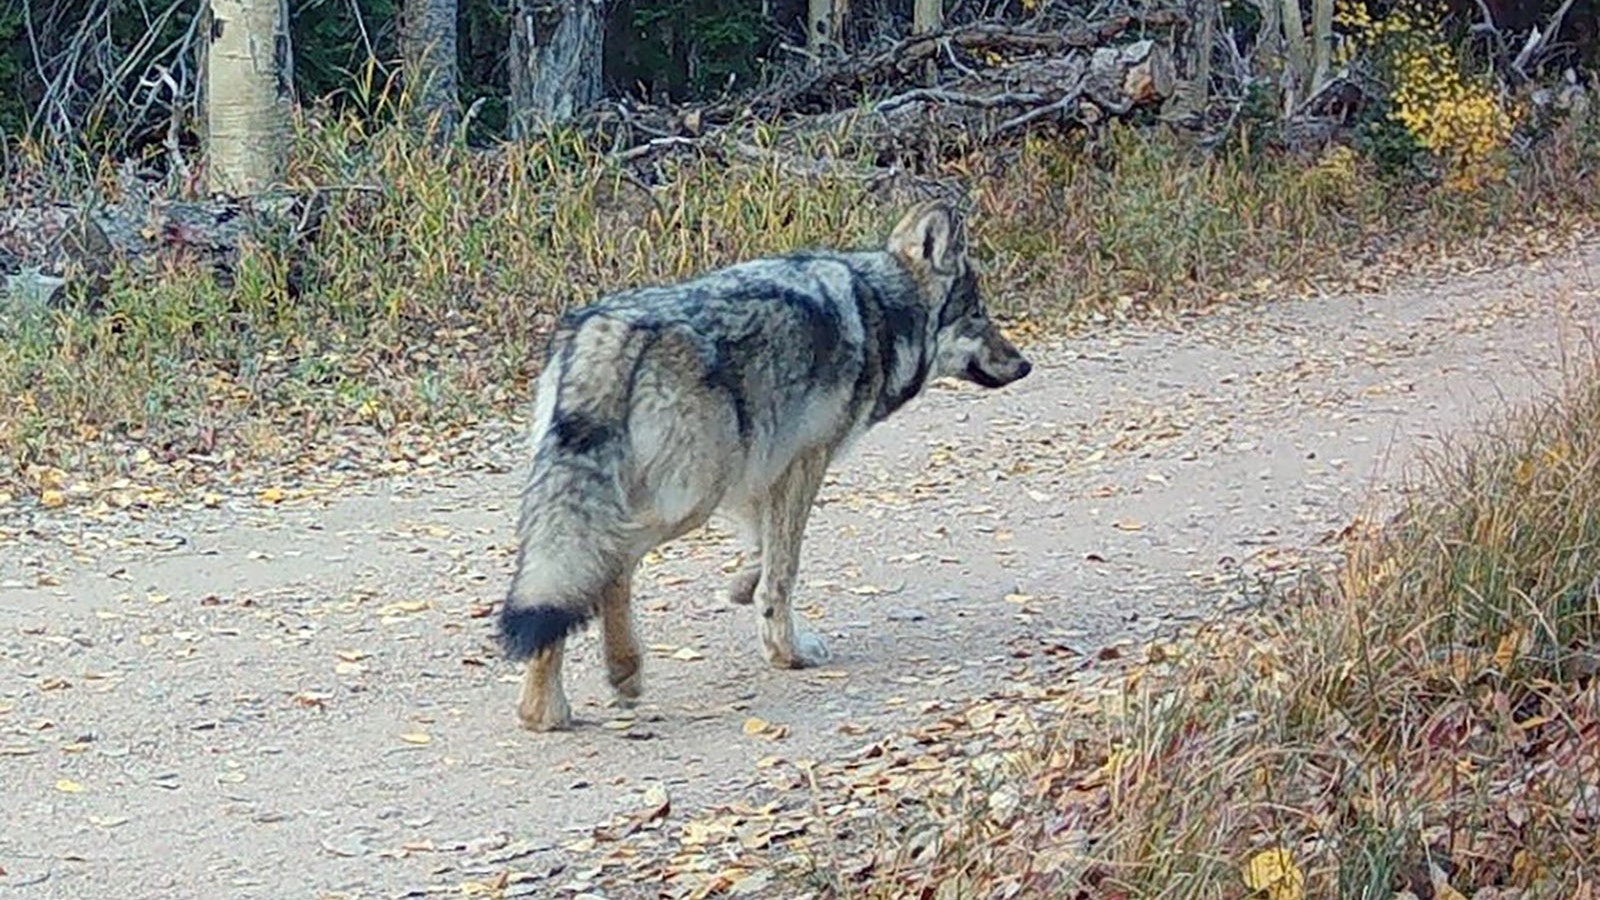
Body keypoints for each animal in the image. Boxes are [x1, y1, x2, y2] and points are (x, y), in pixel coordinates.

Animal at [499, 201, 1032, 731]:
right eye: (978, 316)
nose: (1025, 365)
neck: (880, 310)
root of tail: (605, 330)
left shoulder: (760, 475)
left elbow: (763, 551)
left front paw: (741, 588)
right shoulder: (803, 461)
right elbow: (783, 568)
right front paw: (788, 652)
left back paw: (544, 708)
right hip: (690, 500)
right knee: (608, 566)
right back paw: (616, 673)